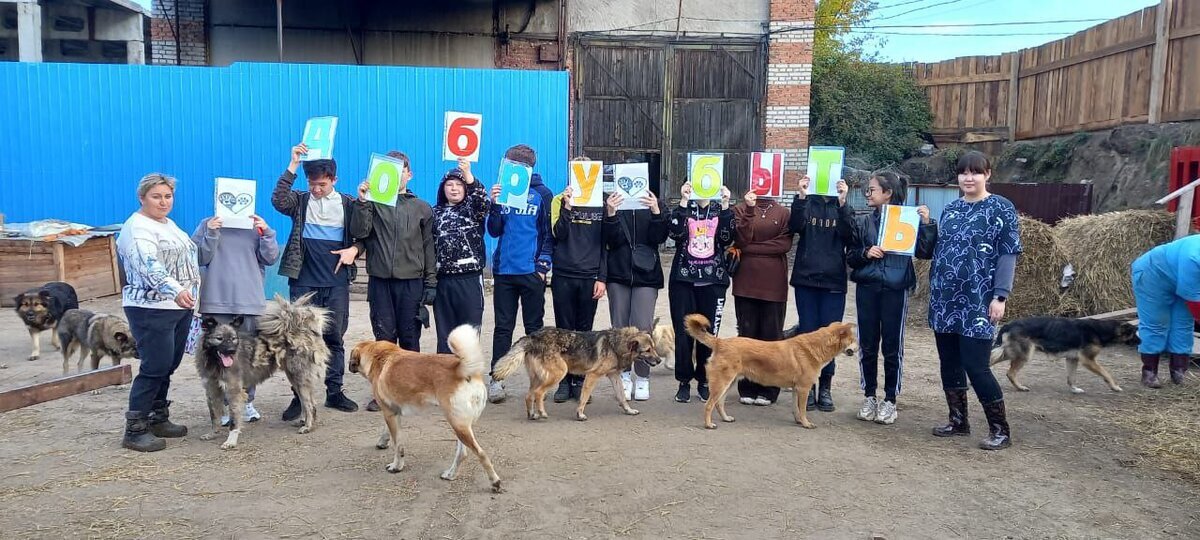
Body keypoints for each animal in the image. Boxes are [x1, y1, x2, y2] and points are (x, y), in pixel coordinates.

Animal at [494, 324, 667, 422]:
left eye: (654, 347)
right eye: (647, 350)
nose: (659, 360)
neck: (616, 343)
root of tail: (532, 337)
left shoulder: (614, 376)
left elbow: (622, 397)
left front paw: (628, 410)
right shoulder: (592, 375)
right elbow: (583, 398)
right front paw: (580, 414)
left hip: (539, 377)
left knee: (529, 395)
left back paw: (532, 415)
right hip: (558, 373)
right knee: (538, 393)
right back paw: (542, 413)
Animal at [988, 316, 1137, 391]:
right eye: (1135, 333)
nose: (1140, 341)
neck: (1102, 329)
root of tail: (1009, 324)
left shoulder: (1072, 359)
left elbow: (1071, 378)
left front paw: (1074, 389)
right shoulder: (1088, 360)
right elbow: (1106, 372)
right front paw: (1114, 386)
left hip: (1009, 352)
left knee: (990, 360)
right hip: (1024, 354)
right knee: (1010, 373)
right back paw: (1020, 387)